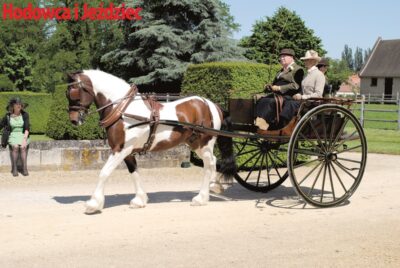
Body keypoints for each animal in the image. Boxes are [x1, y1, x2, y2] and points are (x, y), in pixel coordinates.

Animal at [65, 70, 234, 215]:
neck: (122, 110)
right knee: (213, 160)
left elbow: (104, 172)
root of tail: (211, 104)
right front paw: (140, 200)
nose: (73, 120)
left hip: (204, 143)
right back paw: (214, 186)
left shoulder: (120, 149)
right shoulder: (128, 152)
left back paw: (201, 197)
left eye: (73, 92)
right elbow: (134, 172)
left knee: (209, 164)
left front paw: (93, 204)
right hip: (195, 144)